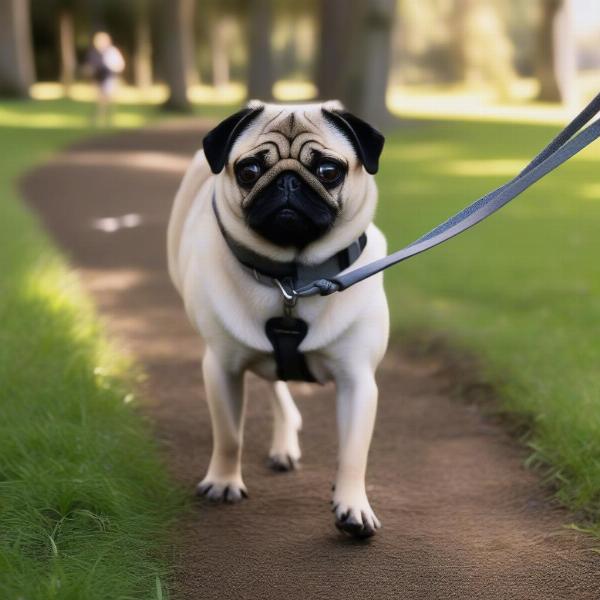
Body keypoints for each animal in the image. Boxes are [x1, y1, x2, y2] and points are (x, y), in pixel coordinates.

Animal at [168, 101, 390, 536]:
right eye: (250, 170)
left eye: (328, 170)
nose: (288, 181)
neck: (291, 278)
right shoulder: (221, 369)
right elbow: (229, 436)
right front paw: (223, 482)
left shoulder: (357, 380)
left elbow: (354, 452)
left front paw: (353, 504)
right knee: (274, 386)